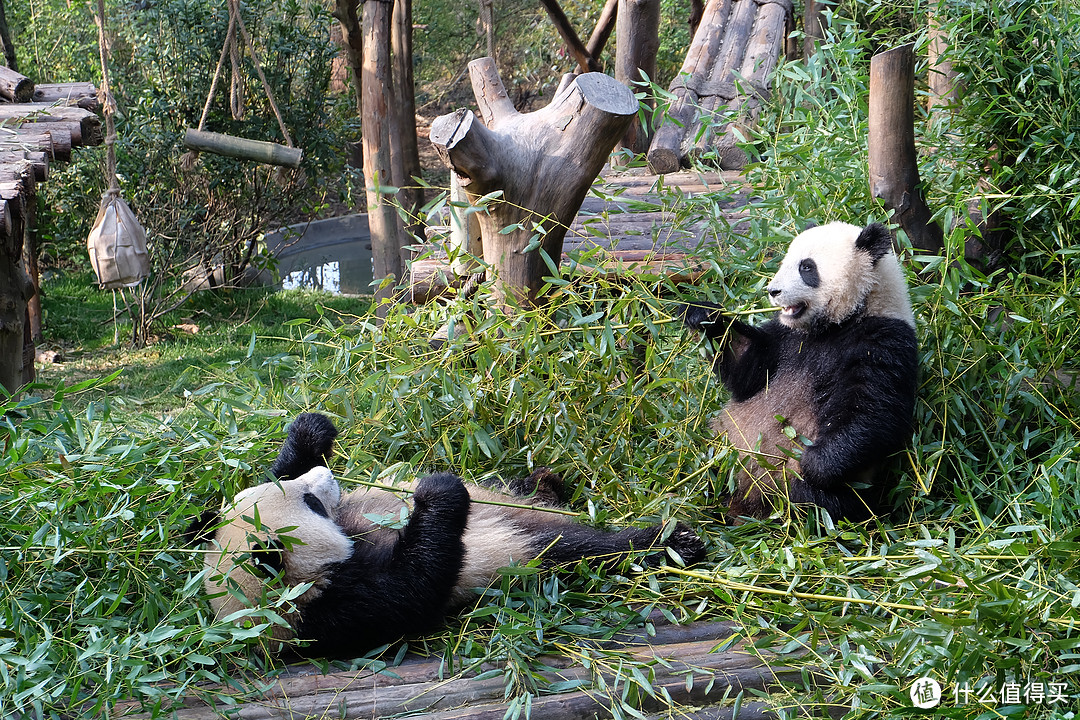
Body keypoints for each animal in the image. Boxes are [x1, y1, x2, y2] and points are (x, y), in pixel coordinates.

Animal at [185, 414, 708, 660]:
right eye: (312, 504)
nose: (327, 479)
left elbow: (277, 468)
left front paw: (310, 432)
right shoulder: (339, 615)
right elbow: (415, 584)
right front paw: (439, 491)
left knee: (526, 496)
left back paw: (545, 482)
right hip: (532, 548)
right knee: (581, 548)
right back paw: (672, 542)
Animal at [678, 221, 915, 524]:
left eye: (807, 267)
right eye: (785, 262)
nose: (773, 291)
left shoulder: (882, 340)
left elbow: (873, 411)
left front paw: (812, 462)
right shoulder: (784, 340)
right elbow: (747, 371)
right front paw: (704, 315)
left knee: (818, 504)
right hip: (723, 449)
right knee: (704, 465)